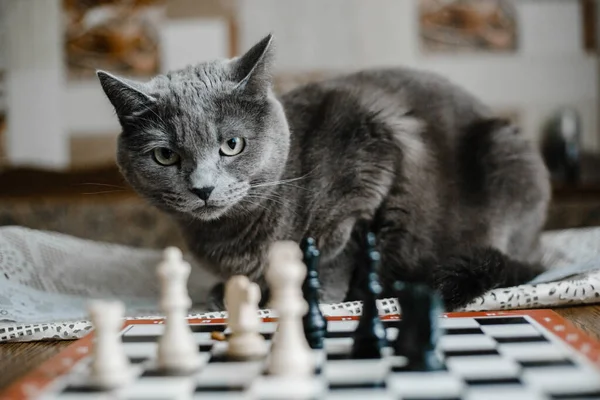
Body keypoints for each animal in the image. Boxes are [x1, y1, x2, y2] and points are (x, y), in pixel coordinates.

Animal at [97, 33, 548, 310]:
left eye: (232, 145)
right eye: (165, 156)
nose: (203, 188)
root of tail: (536, 246)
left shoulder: (373, 160)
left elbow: (342, 251)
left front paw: (316, 297)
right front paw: (229, 292)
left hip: (507, 155)